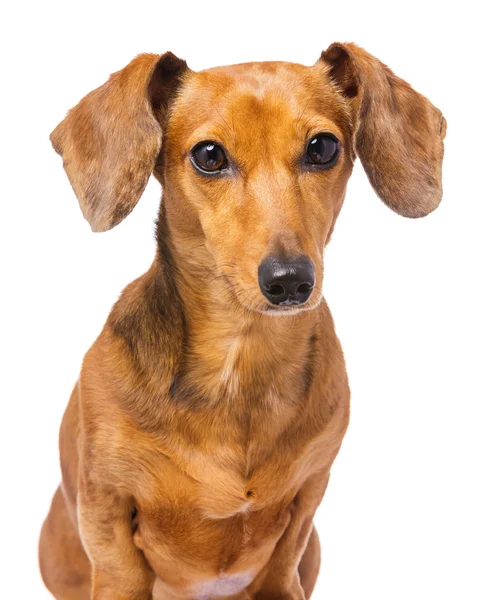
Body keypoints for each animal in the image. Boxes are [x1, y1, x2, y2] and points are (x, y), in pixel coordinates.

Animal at [38, 43, 446, 600]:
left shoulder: (308, 497)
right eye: (209, 156)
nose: (290, 280)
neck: (242, 355)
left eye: (322, 147)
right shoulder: (108, 507)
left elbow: (283, 559)